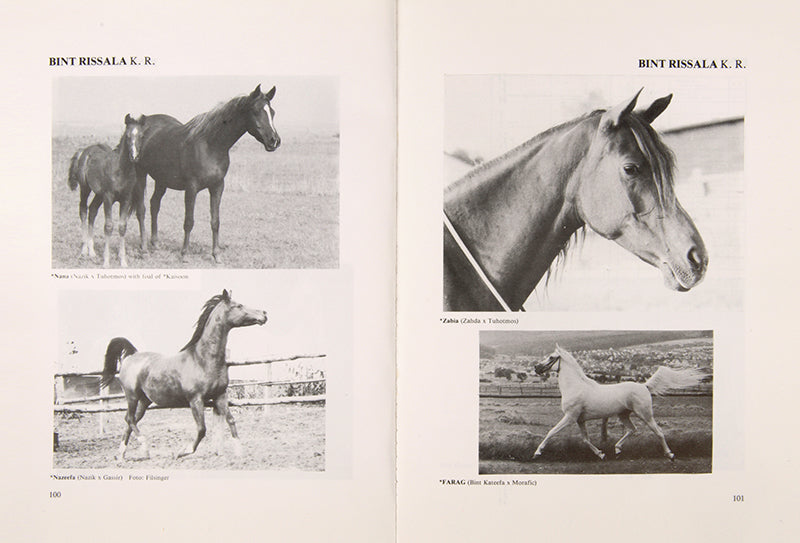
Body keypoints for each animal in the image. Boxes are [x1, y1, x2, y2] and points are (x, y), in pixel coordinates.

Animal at [67, 114, 145, 267]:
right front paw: (106, 262)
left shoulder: (125, 199)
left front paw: (123, 261)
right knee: (83, 210)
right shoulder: (108, 197)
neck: (121, 171)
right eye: (127, 136)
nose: (134, 157)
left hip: (98, 195)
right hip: (85, 189)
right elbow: (108, 226)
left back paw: (92, 252)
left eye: (141, 135)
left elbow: (122, 227)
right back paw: (84, 251)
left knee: (92, 211)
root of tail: (84, 151)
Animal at [100, 289, 267, 460]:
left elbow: (231, 420)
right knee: (130, 419)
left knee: (130, 421)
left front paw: (240, 452)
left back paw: (122, 454)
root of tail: (132, 355)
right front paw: (182, 451)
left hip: (144, 401)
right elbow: (202, 429)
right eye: (238, 306)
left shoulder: (220, 395)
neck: (203, 359)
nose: (264, 314)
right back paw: (144, 447)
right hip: (132, 396)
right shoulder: (195, 399)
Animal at [135, 85, 281, 263]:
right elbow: (189, 221)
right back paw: (143, 247)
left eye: (272, 112)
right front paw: (184, 253)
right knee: (141, 210)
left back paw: (155, 243)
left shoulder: (217, 186)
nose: (274, 140)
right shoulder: (191, 188)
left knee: (154, 204)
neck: (210, 145)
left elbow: (215, 221)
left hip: (161, 180)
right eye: (255, 111)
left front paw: (216, 254)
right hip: (141, 174)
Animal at [531, 346, 704, 461]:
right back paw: (617, 449)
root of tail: (644, 386)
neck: (575, 386)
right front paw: (601, 454)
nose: (536, 368)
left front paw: (537, 453)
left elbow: (551, 432)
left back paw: (670, 455)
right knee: (632, 430)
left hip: (645, 414)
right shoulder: (580, 420)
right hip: (623, 415)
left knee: (658, 432)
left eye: (551, 357)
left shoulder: (570, 417)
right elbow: (586, 440)